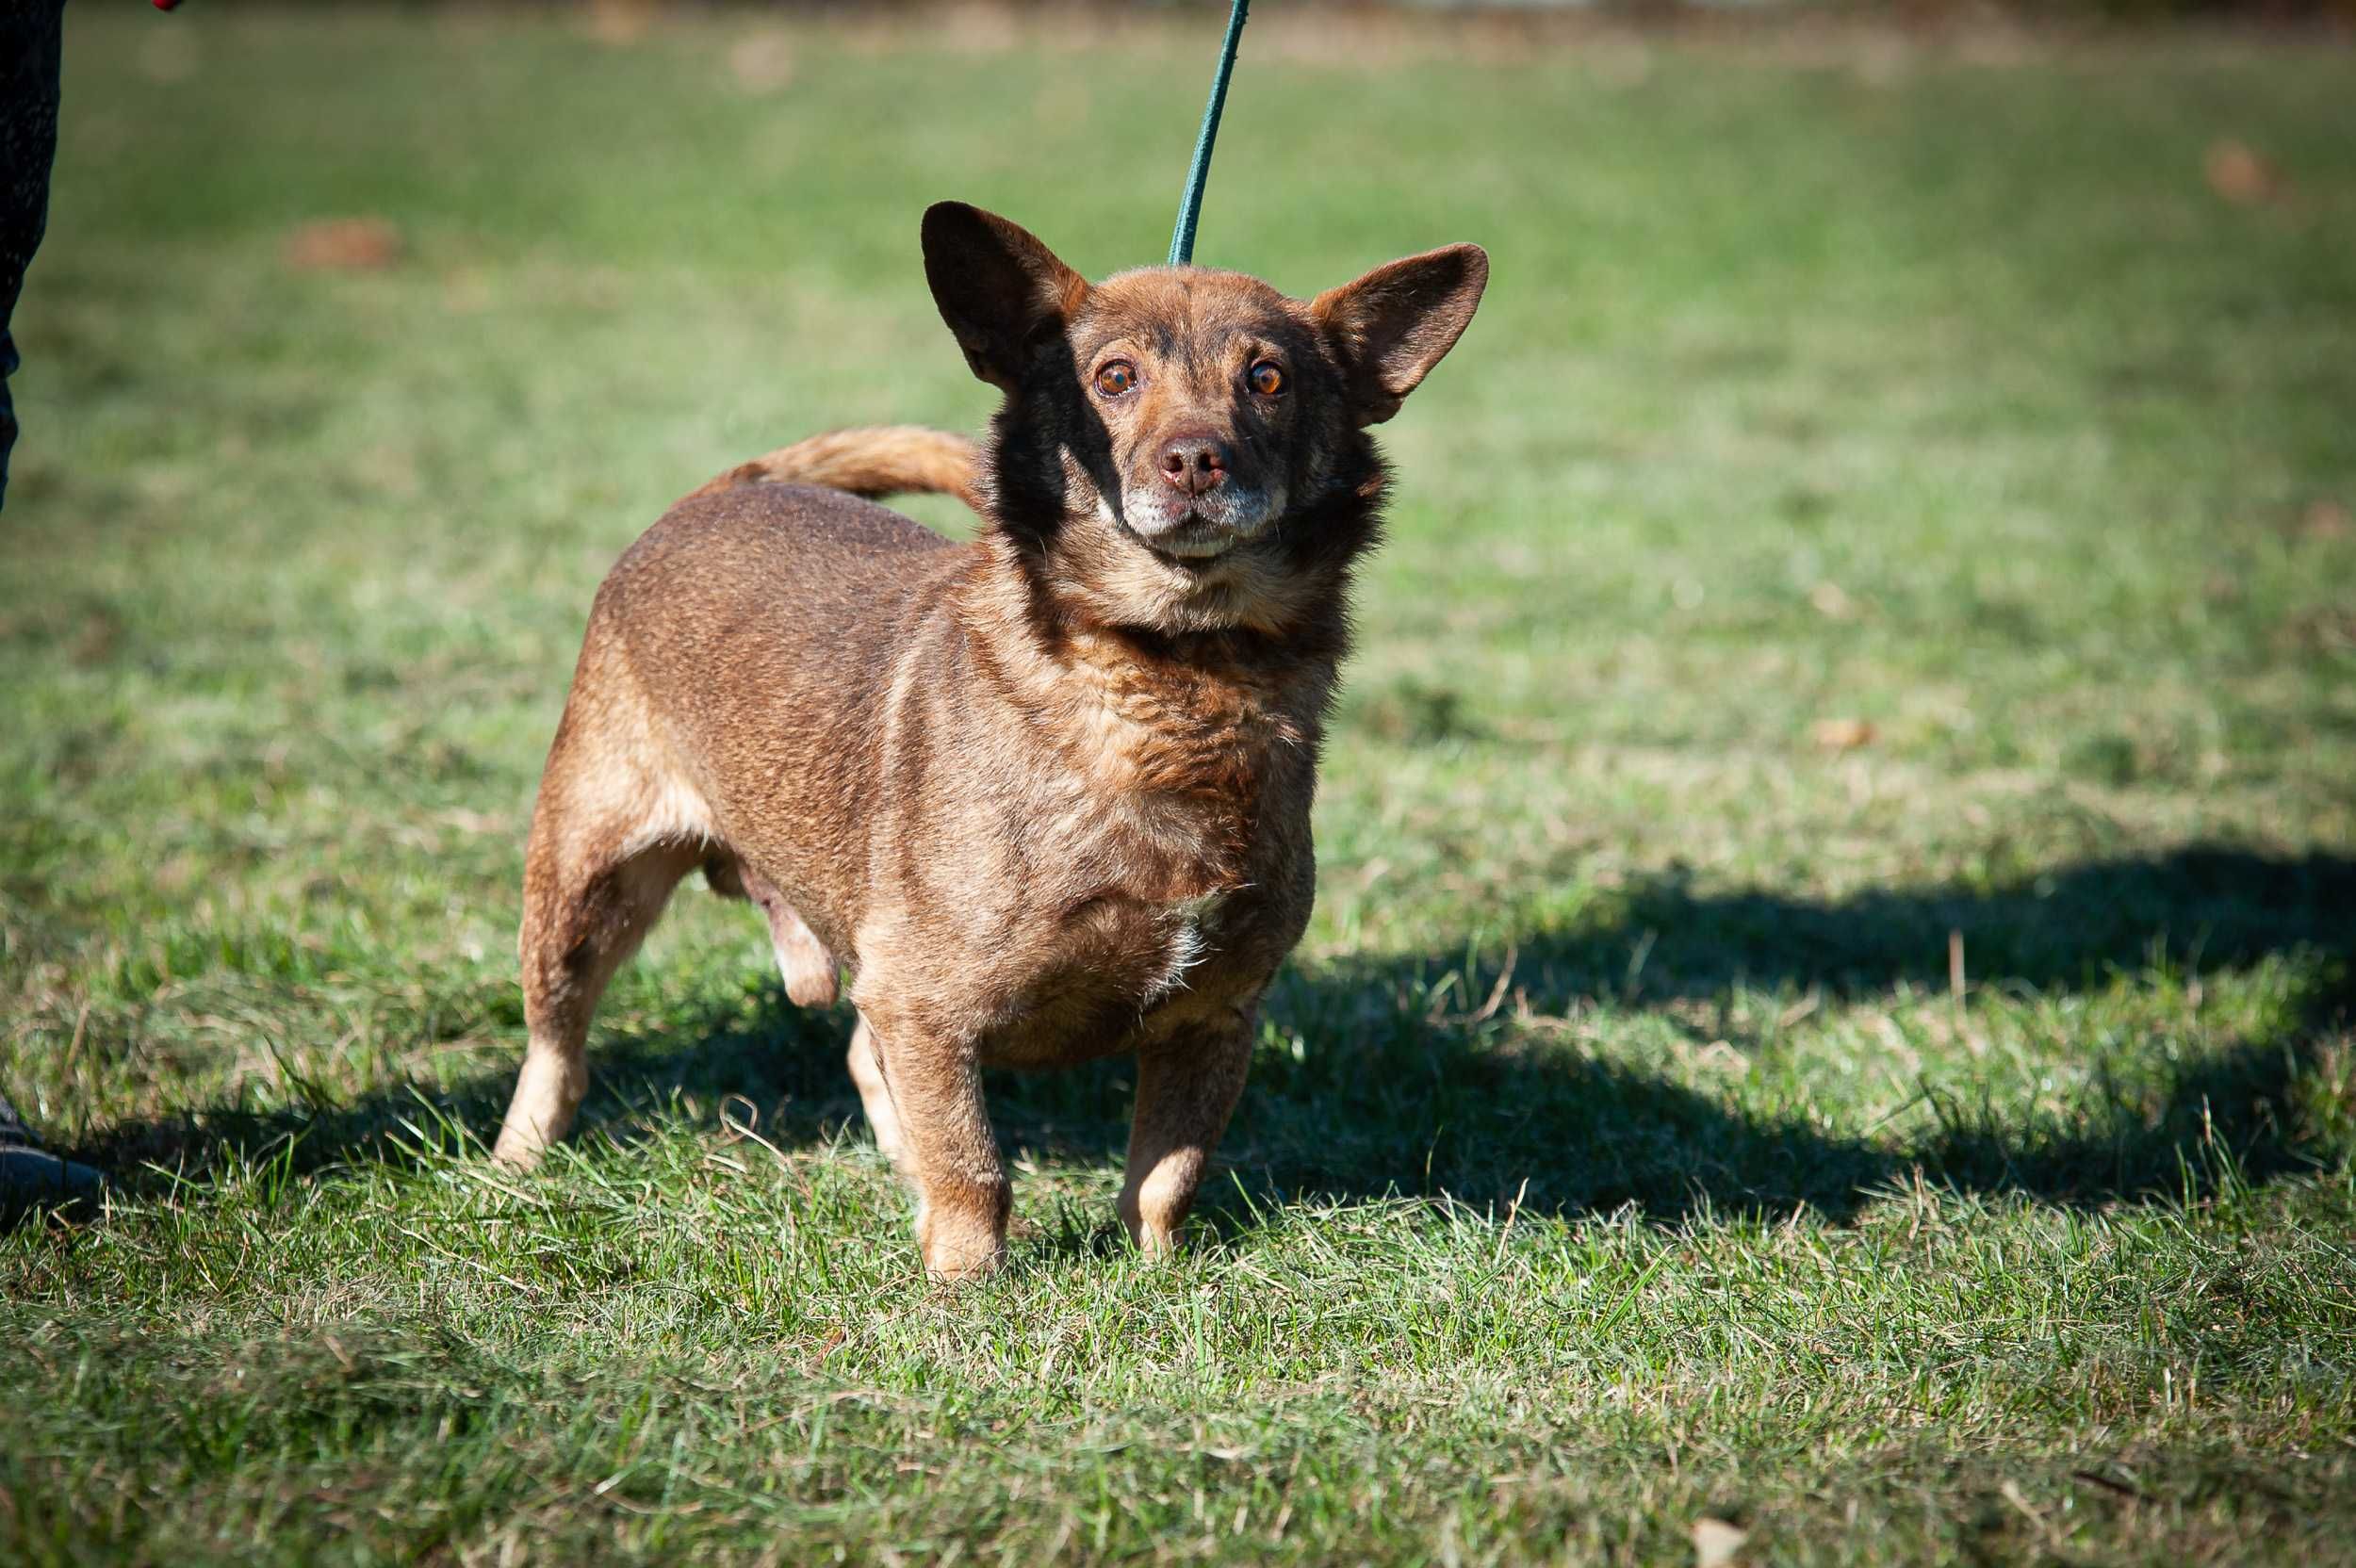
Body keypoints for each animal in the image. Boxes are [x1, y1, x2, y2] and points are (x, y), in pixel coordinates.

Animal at [492, 204, 1489, 1271]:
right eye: (1114, 378)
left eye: (1268, 380)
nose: (1193, 460)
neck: (1177, 674)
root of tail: (726, 486)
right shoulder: (929, 1006)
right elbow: (976, 1166)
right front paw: (965, 1285)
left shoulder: (1212, 1015)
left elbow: (1165, 1176)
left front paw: (1161, 1273)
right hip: (582, 892)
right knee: (559, 1052)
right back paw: (511, 1170)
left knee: (860, 1052)